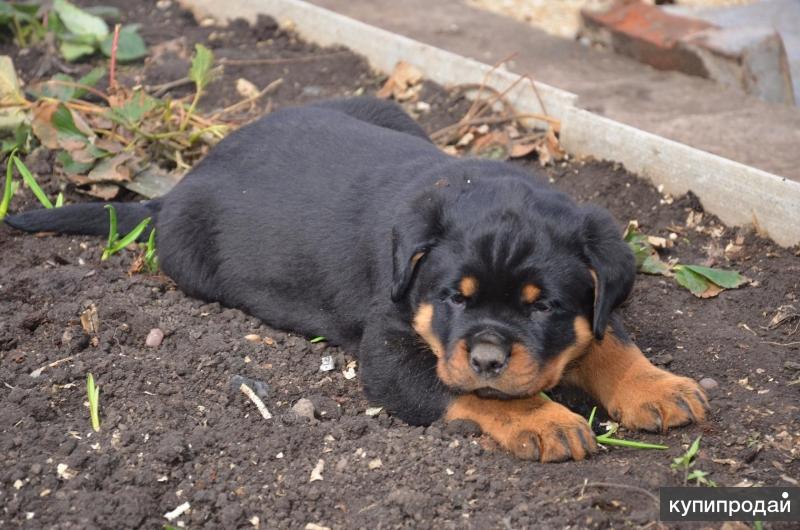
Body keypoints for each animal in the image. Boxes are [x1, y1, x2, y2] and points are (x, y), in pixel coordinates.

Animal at [4, 97, 708, 460]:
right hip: (189, 258)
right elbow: (467, 391)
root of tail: (176, 188)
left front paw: (659, 387)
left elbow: (608, 337)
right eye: (454, 299)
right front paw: (545, 421)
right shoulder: (391, 348)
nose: (487, 356)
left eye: (543, 308)